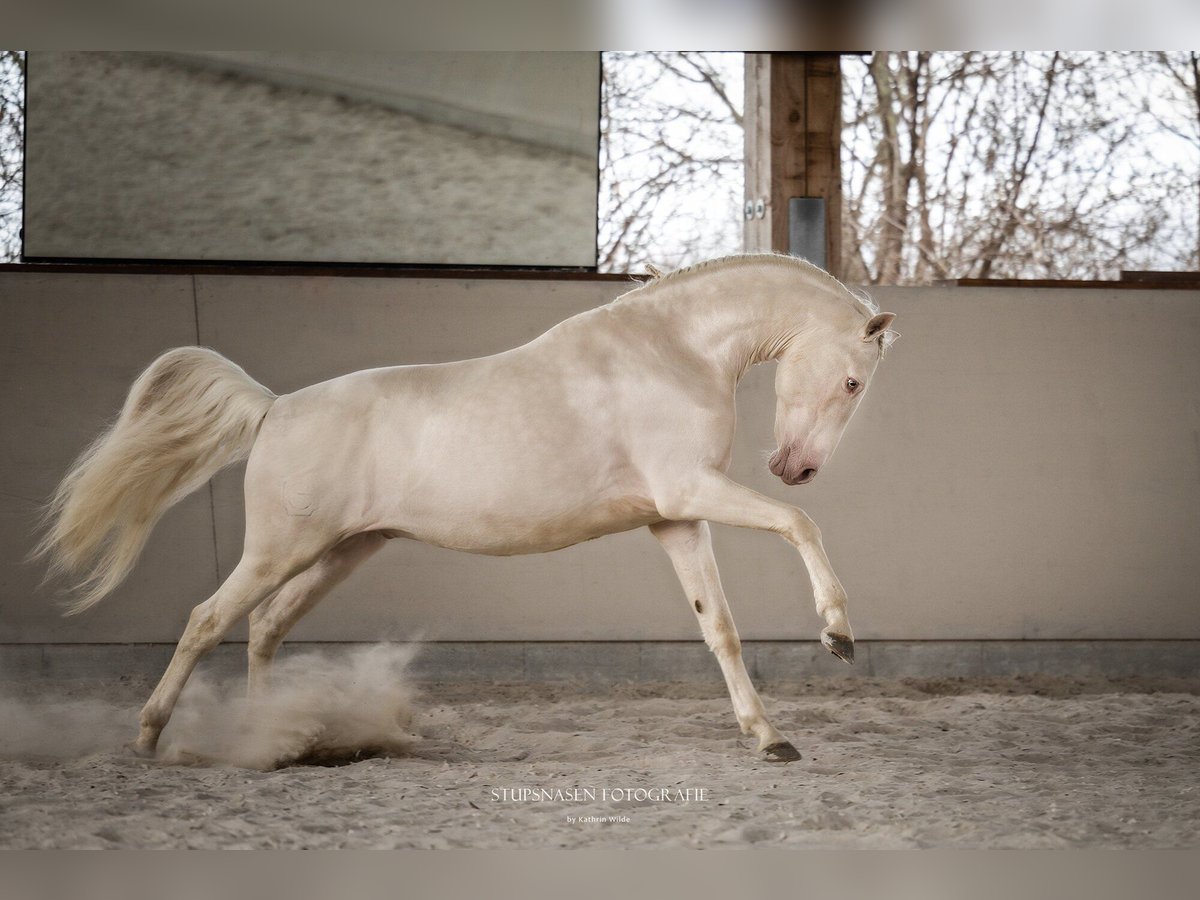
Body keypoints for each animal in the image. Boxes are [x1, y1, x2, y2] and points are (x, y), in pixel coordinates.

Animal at [35, 252, 892, 763]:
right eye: (854, 380)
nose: (795, 467)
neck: (671, 349)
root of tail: (274, 408)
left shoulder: (675, 517)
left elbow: (721, 630)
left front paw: (769, 737)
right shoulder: (690, 492)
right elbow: (800, 526)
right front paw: (838, 635)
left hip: (344, 550)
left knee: (264, 627)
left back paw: (271, 740)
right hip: (282, 548)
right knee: (208, 620)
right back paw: (151, 736)